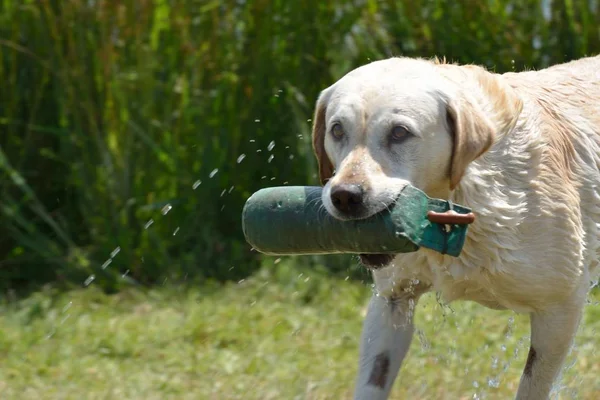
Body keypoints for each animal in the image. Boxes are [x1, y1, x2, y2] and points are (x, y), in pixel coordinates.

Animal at [312, 54, 600, 400]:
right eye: (337, 130)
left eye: (399, 132)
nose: (345, 196)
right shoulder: (392, 299)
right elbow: (373, 379)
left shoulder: (560, 308)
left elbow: (533, 384)